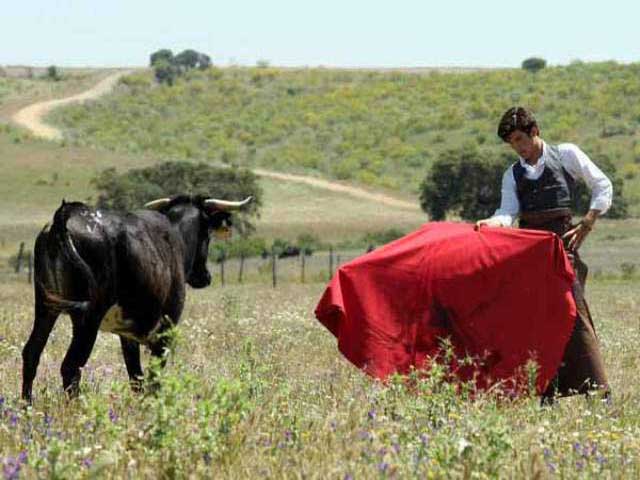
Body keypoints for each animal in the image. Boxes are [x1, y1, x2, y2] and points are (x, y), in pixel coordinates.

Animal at [20, 194, 250, 402]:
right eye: (207, 235)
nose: (205, 277)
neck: (176, 236)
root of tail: (67, 213)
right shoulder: (166, 328)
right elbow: (154, 379)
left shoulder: (127, 334)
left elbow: (136, 378)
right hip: (88, 318)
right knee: (70, 367)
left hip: (45, 308)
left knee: (31, 353)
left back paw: (27, 407)